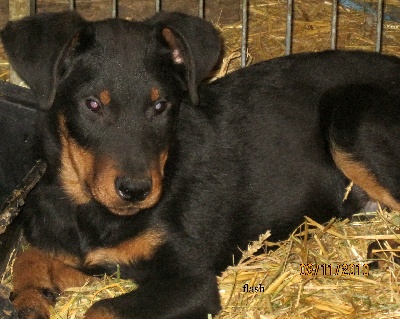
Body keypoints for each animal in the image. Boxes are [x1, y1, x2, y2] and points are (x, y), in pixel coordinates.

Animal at [2, 10, 400, 319]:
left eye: (161, 105)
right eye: (92, 105)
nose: (136, 191)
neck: (88, 208)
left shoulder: (191, 281)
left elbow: (101, 309)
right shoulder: (96, 262)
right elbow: (29, 257)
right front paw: (30, 300)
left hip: (351, 115)